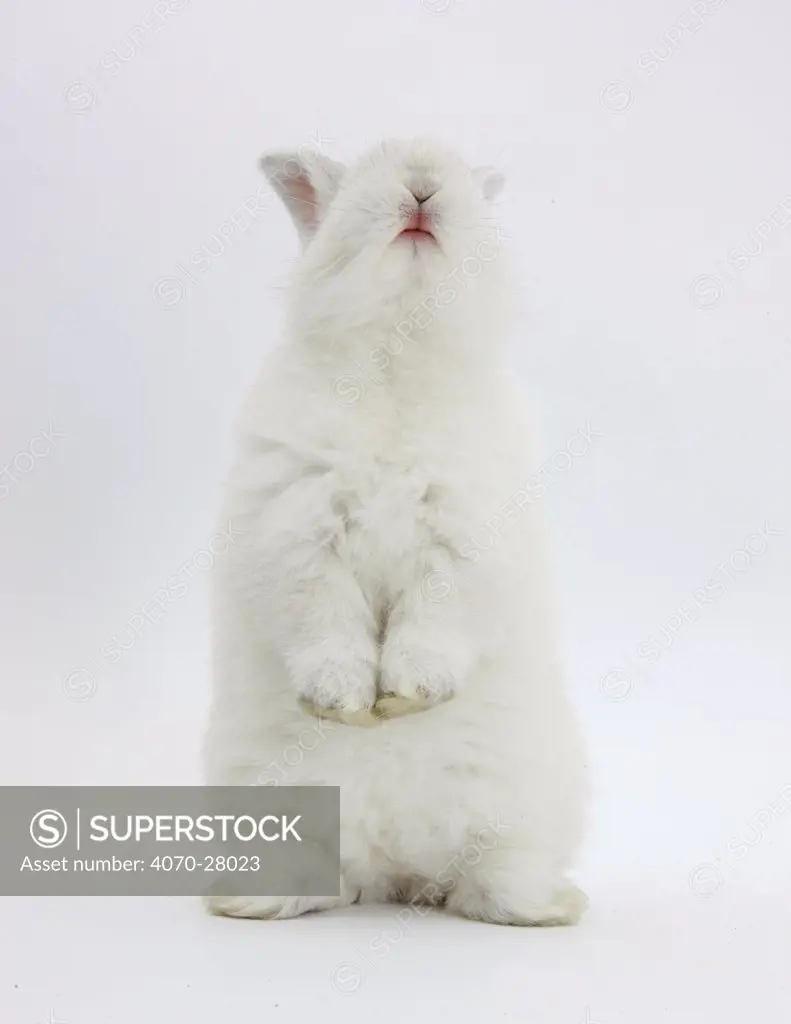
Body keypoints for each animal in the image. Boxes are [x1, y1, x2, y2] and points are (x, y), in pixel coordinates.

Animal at [202, 138, 586, 929]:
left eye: (466, 179)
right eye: (364, 173)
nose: (421, 186)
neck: (396, 353)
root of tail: (391, 869)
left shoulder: (464, 533)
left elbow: (432, 619)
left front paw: (406, 696)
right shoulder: (299, 523)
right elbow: (326, 621)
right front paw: (347, 704)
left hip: (519, 817)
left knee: (492, 877)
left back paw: (547, 907)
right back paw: (249, 902)